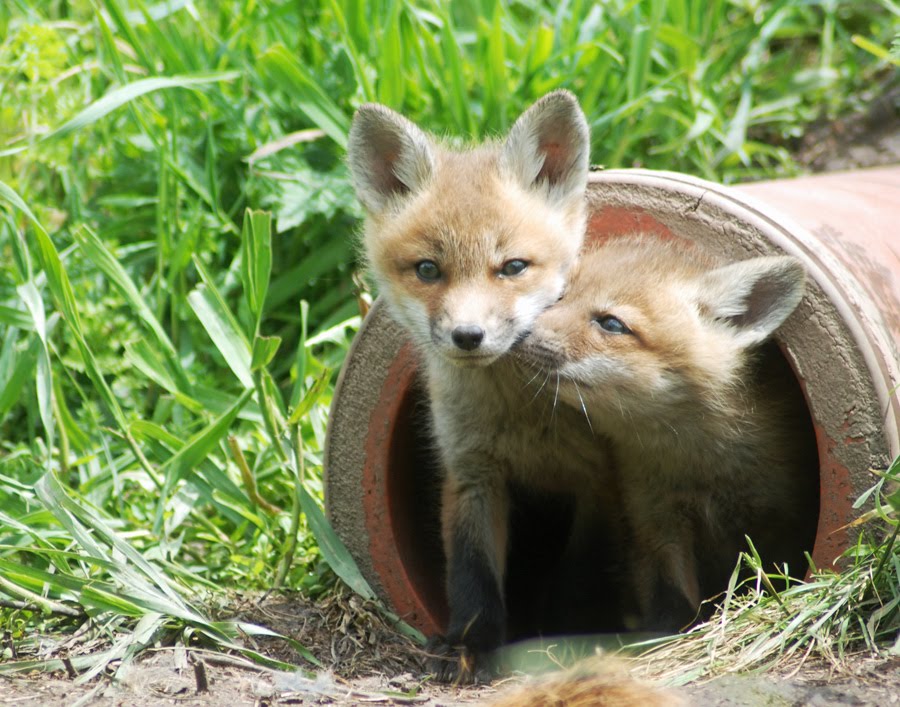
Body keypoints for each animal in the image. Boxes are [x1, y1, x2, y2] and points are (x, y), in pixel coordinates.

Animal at [346, 92, 621, 681]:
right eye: (428, 269)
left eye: (513, 266)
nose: (468, 336)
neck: (522, 419)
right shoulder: (470, 474)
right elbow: (472, 578)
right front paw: (469, 646)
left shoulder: (601, 487)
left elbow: (579, 580)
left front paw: (572, 640)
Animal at [516, 235, 820, 631]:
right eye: (560, 296)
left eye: (611, 324)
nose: (516, 333)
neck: (700, 466)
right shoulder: (654, 518)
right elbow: (670, 599)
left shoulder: (786, 520)